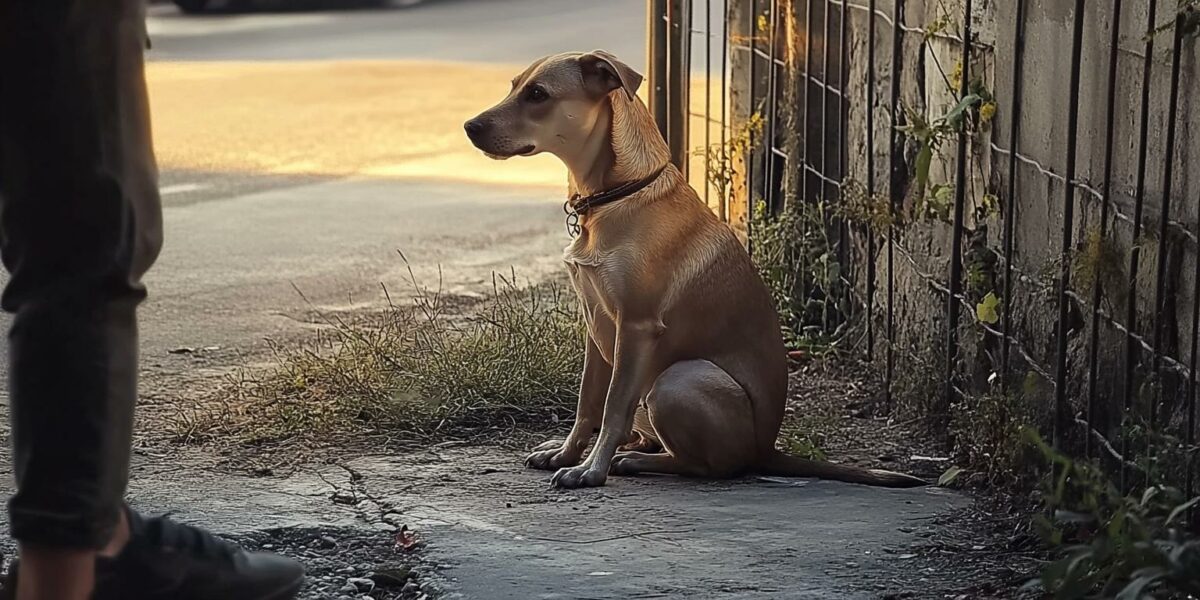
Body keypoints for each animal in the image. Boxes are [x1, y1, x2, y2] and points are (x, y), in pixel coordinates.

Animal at [463, 49, 921, 489]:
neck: (618, 194)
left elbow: (611, 406)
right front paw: (567, 453)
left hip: (676, 380)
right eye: (514, 85)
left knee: (708, 466)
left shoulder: (636, 326)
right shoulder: (596, 326)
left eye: (538, 94)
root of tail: (767, 448)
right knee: (652, 437)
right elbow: (587, 402)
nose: (469, 126)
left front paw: (590, 470)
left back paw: (633, 461)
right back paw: (629, 451)